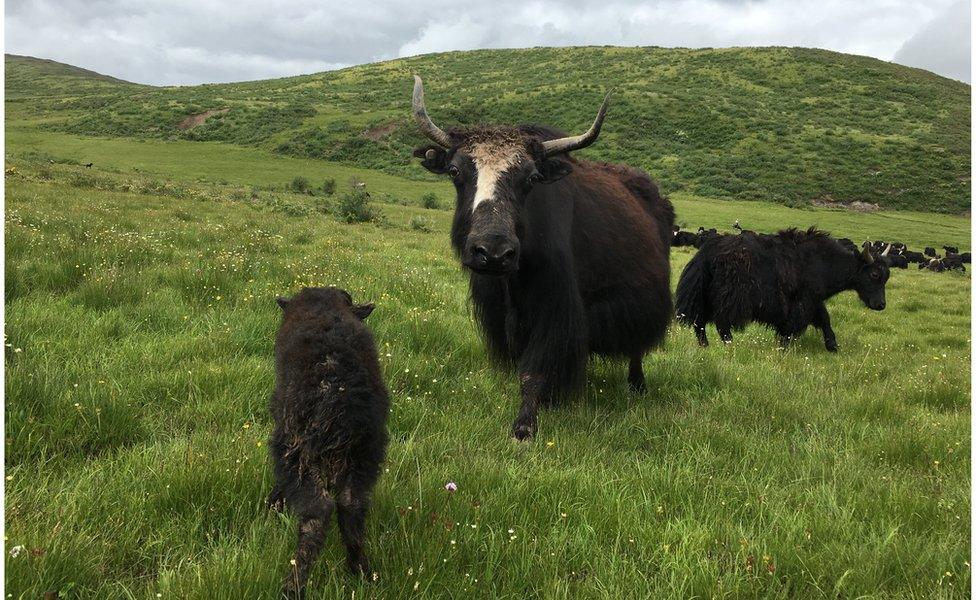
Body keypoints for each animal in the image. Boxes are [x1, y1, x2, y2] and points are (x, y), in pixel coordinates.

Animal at [268, 288, 390, 596]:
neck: (325, 306)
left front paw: (274, 507)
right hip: (366, 451)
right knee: (351, 505)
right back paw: (360, 570)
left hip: (296, 451)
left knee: (318, 512)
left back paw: (293, 586)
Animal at [676, 229, 888, 352]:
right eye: (875, 274)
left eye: (887, 275)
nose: (880, 305)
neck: (825, 263)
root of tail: (706, 252)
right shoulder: (803, 301)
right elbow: (793, 325)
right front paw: (782, 347)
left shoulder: (814, 301)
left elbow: (825, 320)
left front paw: (833, 346)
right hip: (731, 297)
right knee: (721, 322)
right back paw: (730, 345)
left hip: (705, 296)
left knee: (699, 322)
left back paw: (705, 346)